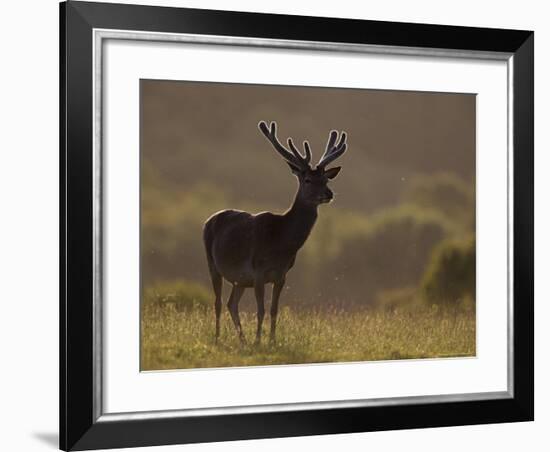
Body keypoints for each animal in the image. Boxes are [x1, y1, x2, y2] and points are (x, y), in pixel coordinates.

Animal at [203, 122, 350, 344]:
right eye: (307, 180)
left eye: (326, 180)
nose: (328, 194)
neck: (281, 244)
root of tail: (209, 219)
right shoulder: (258, 272)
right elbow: (261, 310)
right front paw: (258, 341)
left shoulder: (282, 275)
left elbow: (274, 310)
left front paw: (271, 341)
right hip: (213, 264)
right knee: (218, 302)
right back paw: (219, 338)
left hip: (240, 279)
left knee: (231, 303)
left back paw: (242, 340)